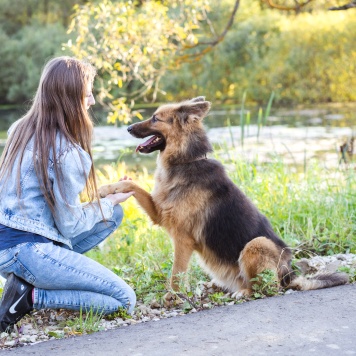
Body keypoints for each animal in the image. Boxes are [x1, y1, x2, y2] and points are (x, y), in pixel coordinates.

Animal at [98, 96, 350, 298]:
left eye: (154, 118)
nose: (128, 128)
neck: (186, 161)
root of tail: (290, 275)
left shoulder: (182, 239)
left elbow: (176, 275)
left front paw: (173, 298)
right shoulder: (159, 213)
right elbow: (131, 183)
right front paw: (104, 189)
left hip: (256, 245)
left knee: (267, 287)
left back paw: (243, 292)